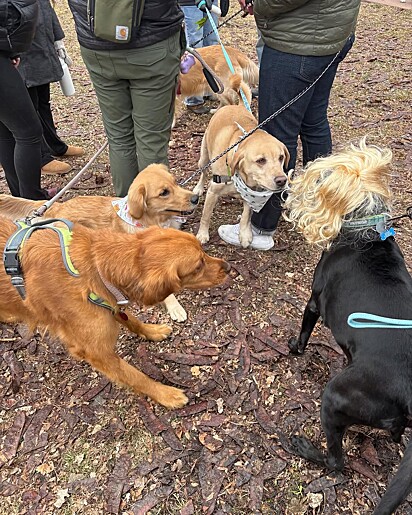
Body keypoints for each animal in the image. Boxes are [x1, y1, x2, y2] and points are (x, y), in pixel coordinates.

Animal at [0, 163, 200, 322]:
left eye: (175, 182)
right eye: (164, 193)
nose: (195, 198)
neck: (147, 220)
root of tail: (58, 206)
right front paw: (175, 307)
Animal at [0, 220, 229, 410]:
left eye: (203, 251)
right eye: (198, 266)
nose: (228, 267)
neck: (96, 269)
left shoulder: (110, 305)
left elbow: (132, 320)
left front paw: (151, 331)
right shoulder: (98, 352)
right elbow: (135, 375)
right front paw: (165, 394)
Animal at [193, 105, 290, 248]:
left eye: (281, 157)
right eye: (261, 160)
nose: (282, 180)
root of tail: (234, 105)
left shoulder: (251, 196)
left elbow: (246, 216)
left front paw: (244, 234)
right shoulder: (213, 192)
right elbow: (206, 215)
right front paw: (202, 234)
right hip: (204, 159)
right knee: (203, 173)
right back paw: (198, 188)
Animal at [284, 138, 412, 515]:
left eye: (317, 176)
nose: (293, 174)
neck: (366, 233)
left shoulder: (313, 303)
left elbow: (303, 332)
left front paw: (294, 349)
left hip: (333, 397)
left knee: (336, 463)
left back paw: (303, 447)